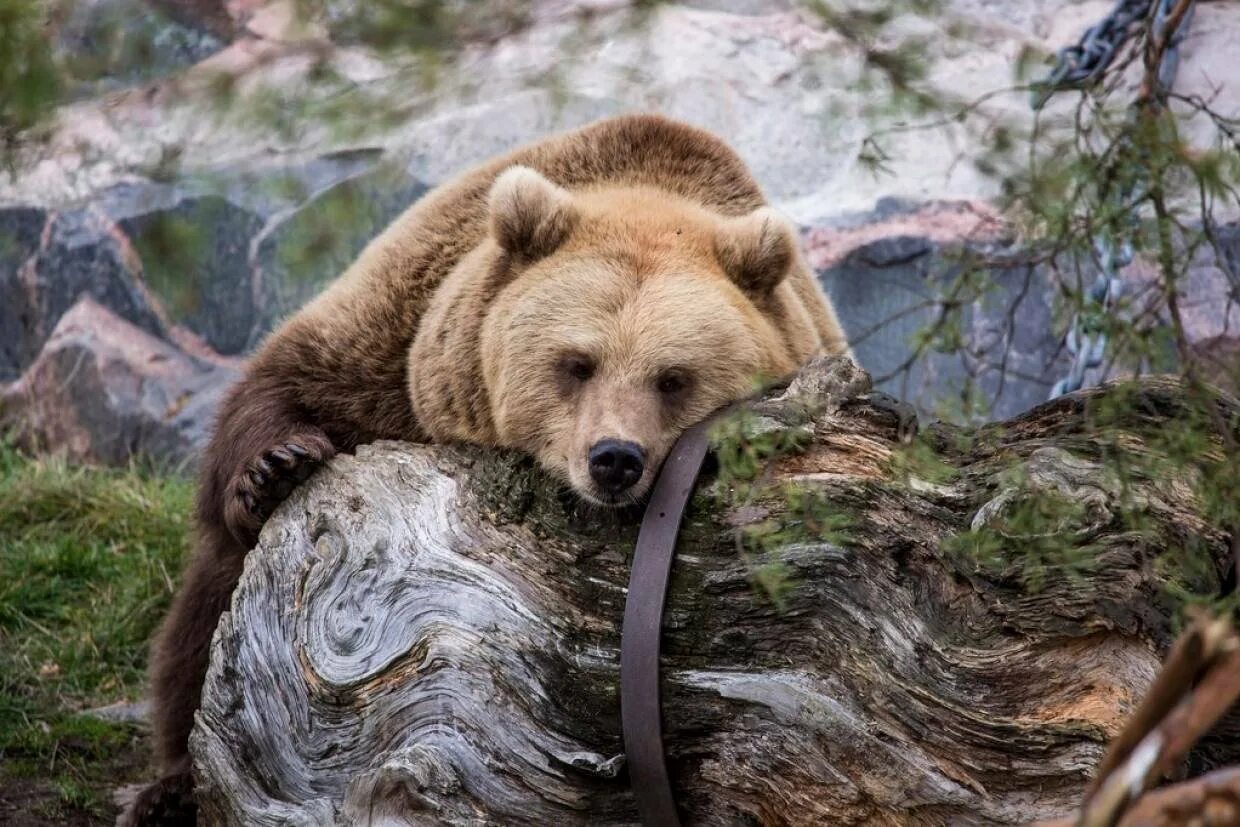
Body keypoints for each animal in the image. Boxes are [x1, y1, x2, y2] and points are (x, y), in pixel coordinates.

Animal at [123, 113, 848, 825]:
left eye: (673, 378)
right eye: (577, 363)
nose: (614, 459)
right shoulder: (406, 338)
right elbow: (286, 385)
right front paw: (278, 464)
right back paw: (170, 790)